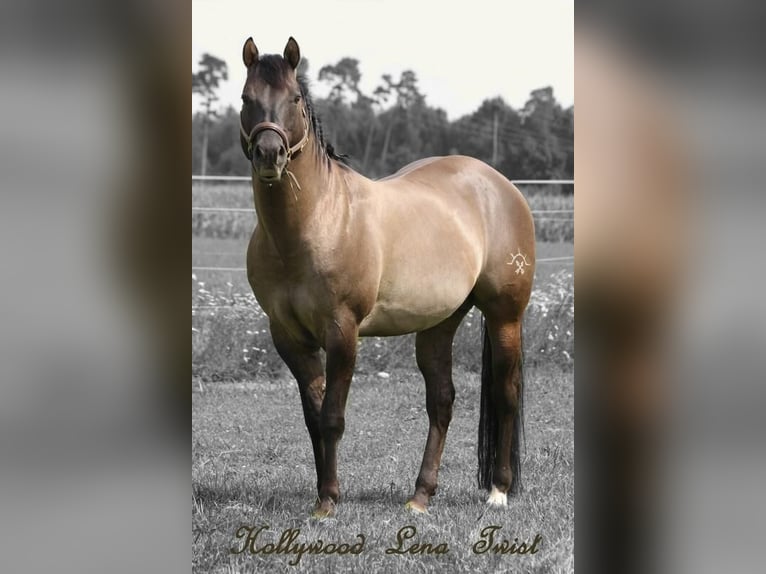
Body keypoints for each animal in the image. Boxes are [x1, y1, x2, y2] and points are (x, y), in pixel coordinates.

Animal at [239, 37, 535, 518]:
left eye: (296, 99)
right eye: (247, 98)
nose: (270, 154)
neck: (316, 222)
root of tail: (501, 185)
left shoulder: (343, 331)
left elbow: (333, 417)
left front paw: (329, 501)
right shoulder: (288, 336)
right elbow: (313, 417)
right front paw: (321, 495)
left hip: (505, 315)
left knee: (505, 394)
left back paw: (498, 491)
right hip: (439, 324)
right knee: (441, 402)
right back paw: (420, 496)